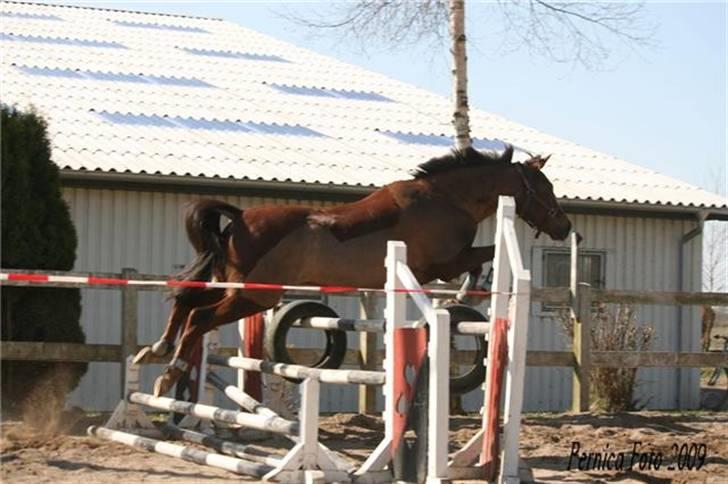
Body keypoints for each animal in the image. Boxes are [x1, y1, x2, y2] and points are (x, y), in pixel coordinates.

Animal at [141, 146, 576, 396]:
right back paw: (168, 374)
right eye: (545, 187)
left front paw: (464, 293)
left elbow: (480, 259)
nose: (565, 227)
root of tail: (241, 217)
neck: (447, 198)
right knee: (199, 317)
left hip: (235, 286)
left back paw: (156, 349)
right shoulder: (440, 262)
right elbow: (482, 256)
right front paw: (467, 291)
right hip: (253, 294)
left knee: (187, 301)